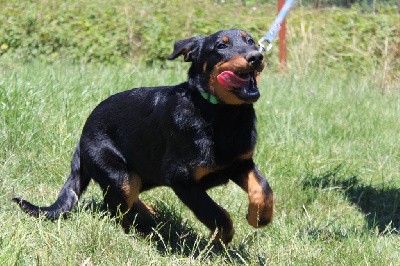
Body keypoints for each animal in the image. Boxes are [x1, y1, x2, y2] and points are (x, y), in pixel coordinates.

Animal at [13, 28, 276, 243]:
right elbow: (215, 212)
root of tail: (81, 138)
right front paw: (223, 237)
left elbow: (263, 188)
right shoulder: (181, 178)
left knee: (128, 200)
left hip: (140, 173)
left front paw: (259, 217)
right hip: (120, 174)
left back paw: (150, 214)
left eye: (251, 41)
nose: (256, 56)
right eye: (221, 46)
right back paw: (135, 235)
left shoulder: (240, 162)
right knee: (117, 209)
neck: (221, 114)